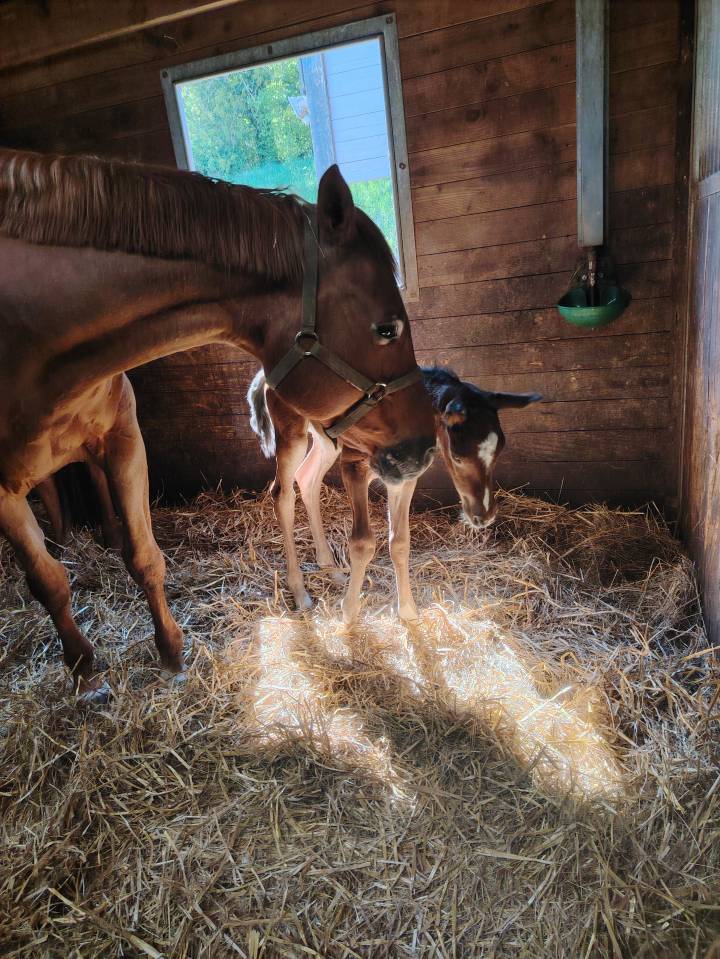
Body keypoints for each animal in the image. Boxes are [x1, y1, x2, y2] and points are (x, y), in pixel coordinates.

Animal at [0, 148, 436, 702]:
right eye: (386, 328)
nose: (424, 446)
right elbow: (48, 579)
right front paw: (85, 670)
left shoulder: (123, 439)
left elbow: (143, 554)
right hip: (296, 438)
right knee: (284, 491)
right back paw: (301, 590)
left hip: (324, 442)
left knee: (307, 482)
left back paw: (326, 566)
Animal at [247, 366, 541, 617]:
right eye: (458, 456)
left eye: (500, 450)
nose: (484, 515)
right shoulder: (354, 465)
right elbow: (363, 542)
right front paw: (349, 614)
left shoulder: (406, 478)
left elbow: (399, 542)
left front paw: (408, 613)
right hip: (292, 432)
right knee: (282, 493)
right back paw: (300, 593)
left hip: (326, 440)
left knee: (308, 478)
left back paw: (332, 570)